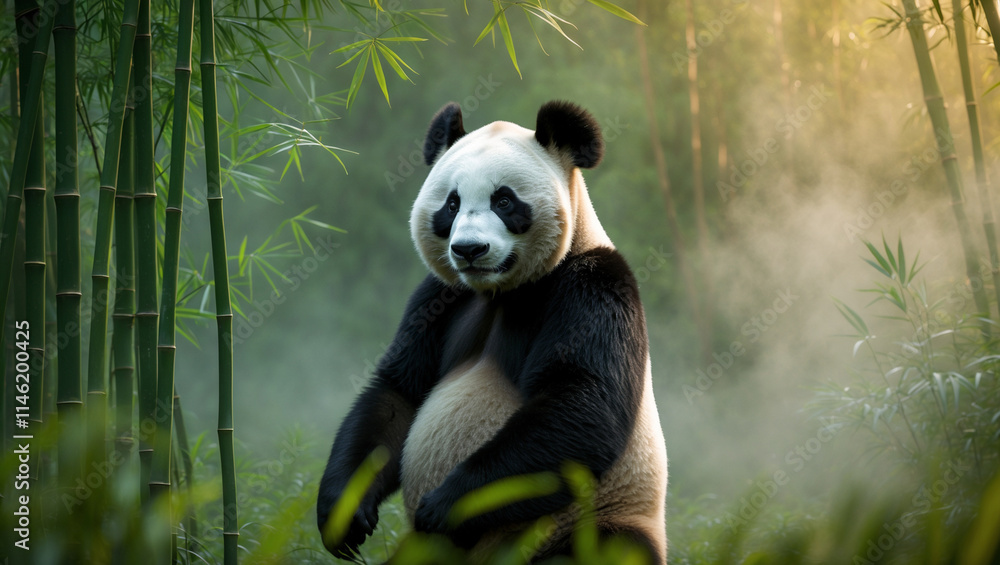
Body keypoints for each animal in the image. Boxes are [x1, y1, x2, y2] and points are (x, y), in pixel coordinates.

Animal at [317, 101, 668, 563]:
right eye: (451, 204)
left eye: (504, 200)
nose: (469, 249)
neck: (502, 292)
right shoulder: (439, 300)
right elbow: (397, 393)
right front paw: (344, 515)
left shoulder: (593, 287)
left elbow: (581, 403)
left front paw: (442, 506)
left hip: (597, 520)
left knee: (607, 547)